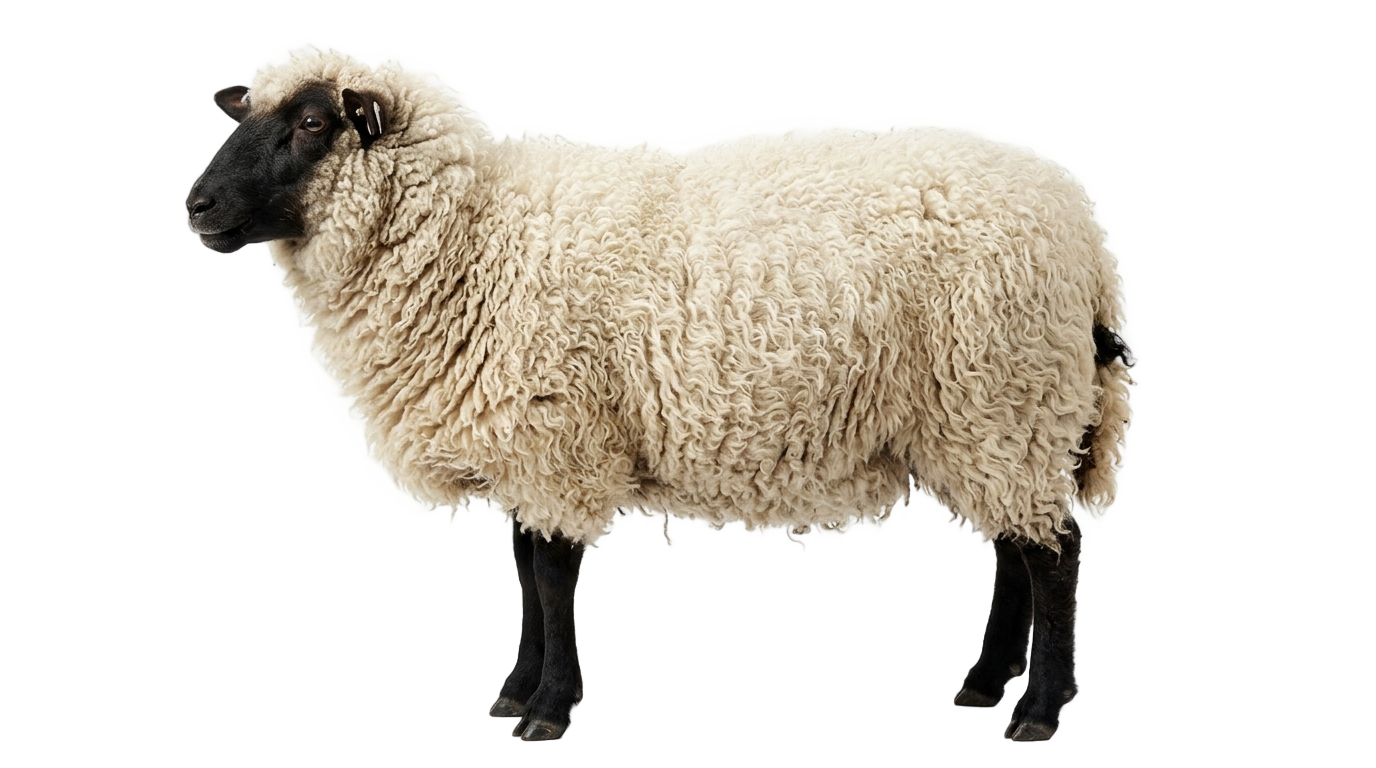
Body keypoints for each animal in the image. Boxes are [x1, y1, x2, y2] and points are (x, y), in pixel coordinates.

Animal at [186, 51, 1131, 743]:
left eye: (312, 123)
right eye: (249, 115)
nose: (197, 205)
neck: (475, 235)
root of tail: (1083, 236)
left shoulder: (555, 436)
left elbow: (552, 574)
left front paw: (548, 710)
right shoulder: (524, 443)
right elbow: (522, 565)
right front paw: (514, 693)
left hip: (1006, 393)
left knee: (1052, 554)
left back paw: (1037, 711)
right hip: (989, 417)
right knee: (1015, 547)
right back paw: (981, 686)